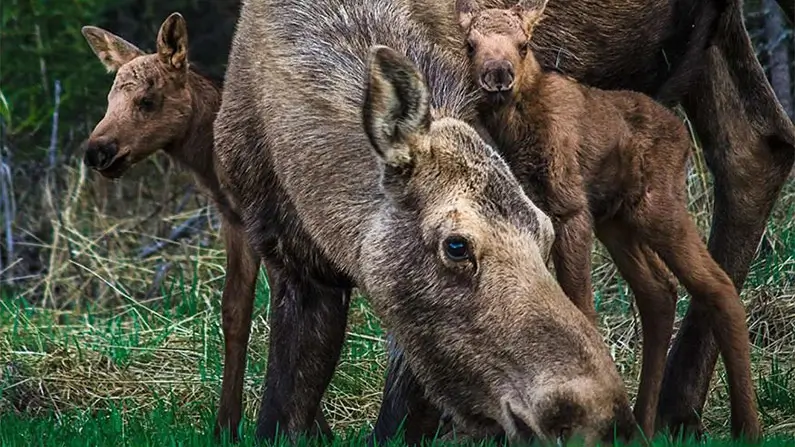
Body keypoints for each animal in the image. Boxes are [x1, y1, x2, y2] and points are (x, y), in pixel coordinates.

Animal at [452, 0, 761, 441]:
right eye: (471, 44)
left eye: (523, 44)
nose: (498, 75)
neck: (519, 130)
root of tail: (682, 135)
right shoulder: (537, 215)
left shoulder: (571, 209)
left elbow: (582, 306)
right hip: (617, 221)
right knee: (659, 291)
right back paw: (643, 425)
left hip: (657, 206)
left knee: (717, 286)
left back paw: (746, 426)